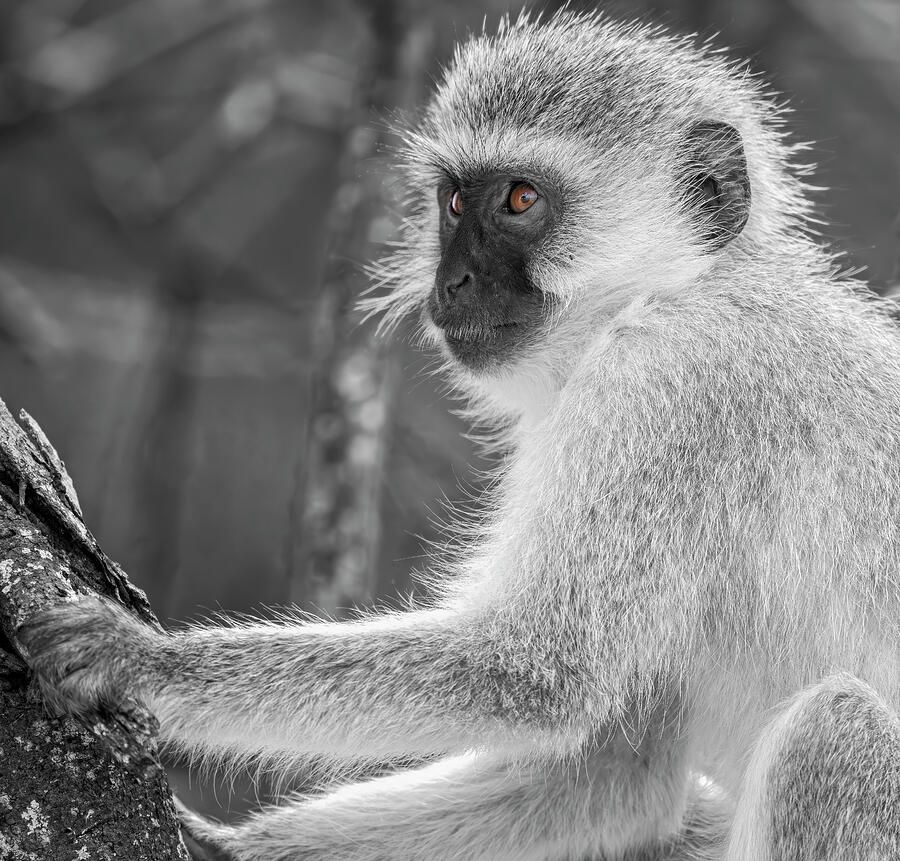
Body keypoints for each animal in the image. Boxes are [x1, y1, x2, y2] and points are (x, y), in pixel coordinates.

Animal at [16, 10, 900, 861]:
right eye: (451, 202)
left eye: (520, 200)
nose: (452, 283)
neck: (673, 288)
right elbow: (613, 776)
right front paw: (234, 849)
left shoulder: (666, 389)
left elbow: (536, 668)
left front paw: (141, 659)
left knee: (835, 733)